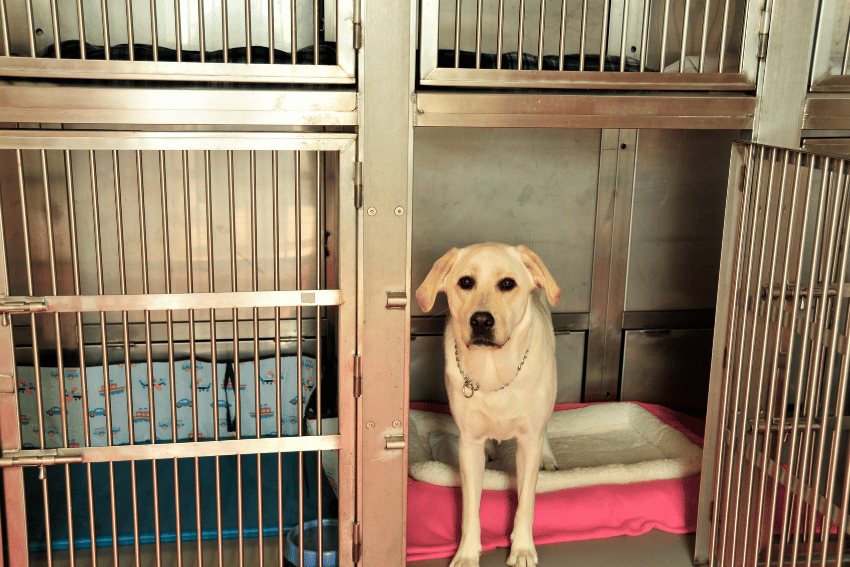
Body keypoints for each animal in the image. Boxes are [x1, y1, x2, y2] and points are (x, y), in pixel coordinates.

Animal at [414, 243, 560, 567]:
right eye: (466, 282)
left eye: (507, 283)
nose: (481, 320)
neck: (493, 372)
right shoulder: (468, 446)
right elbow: (470, 508)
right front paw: (467, 553)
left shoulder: (527, 443)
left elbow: (525, 502)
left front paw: (522, 549)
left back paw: (548, 456)